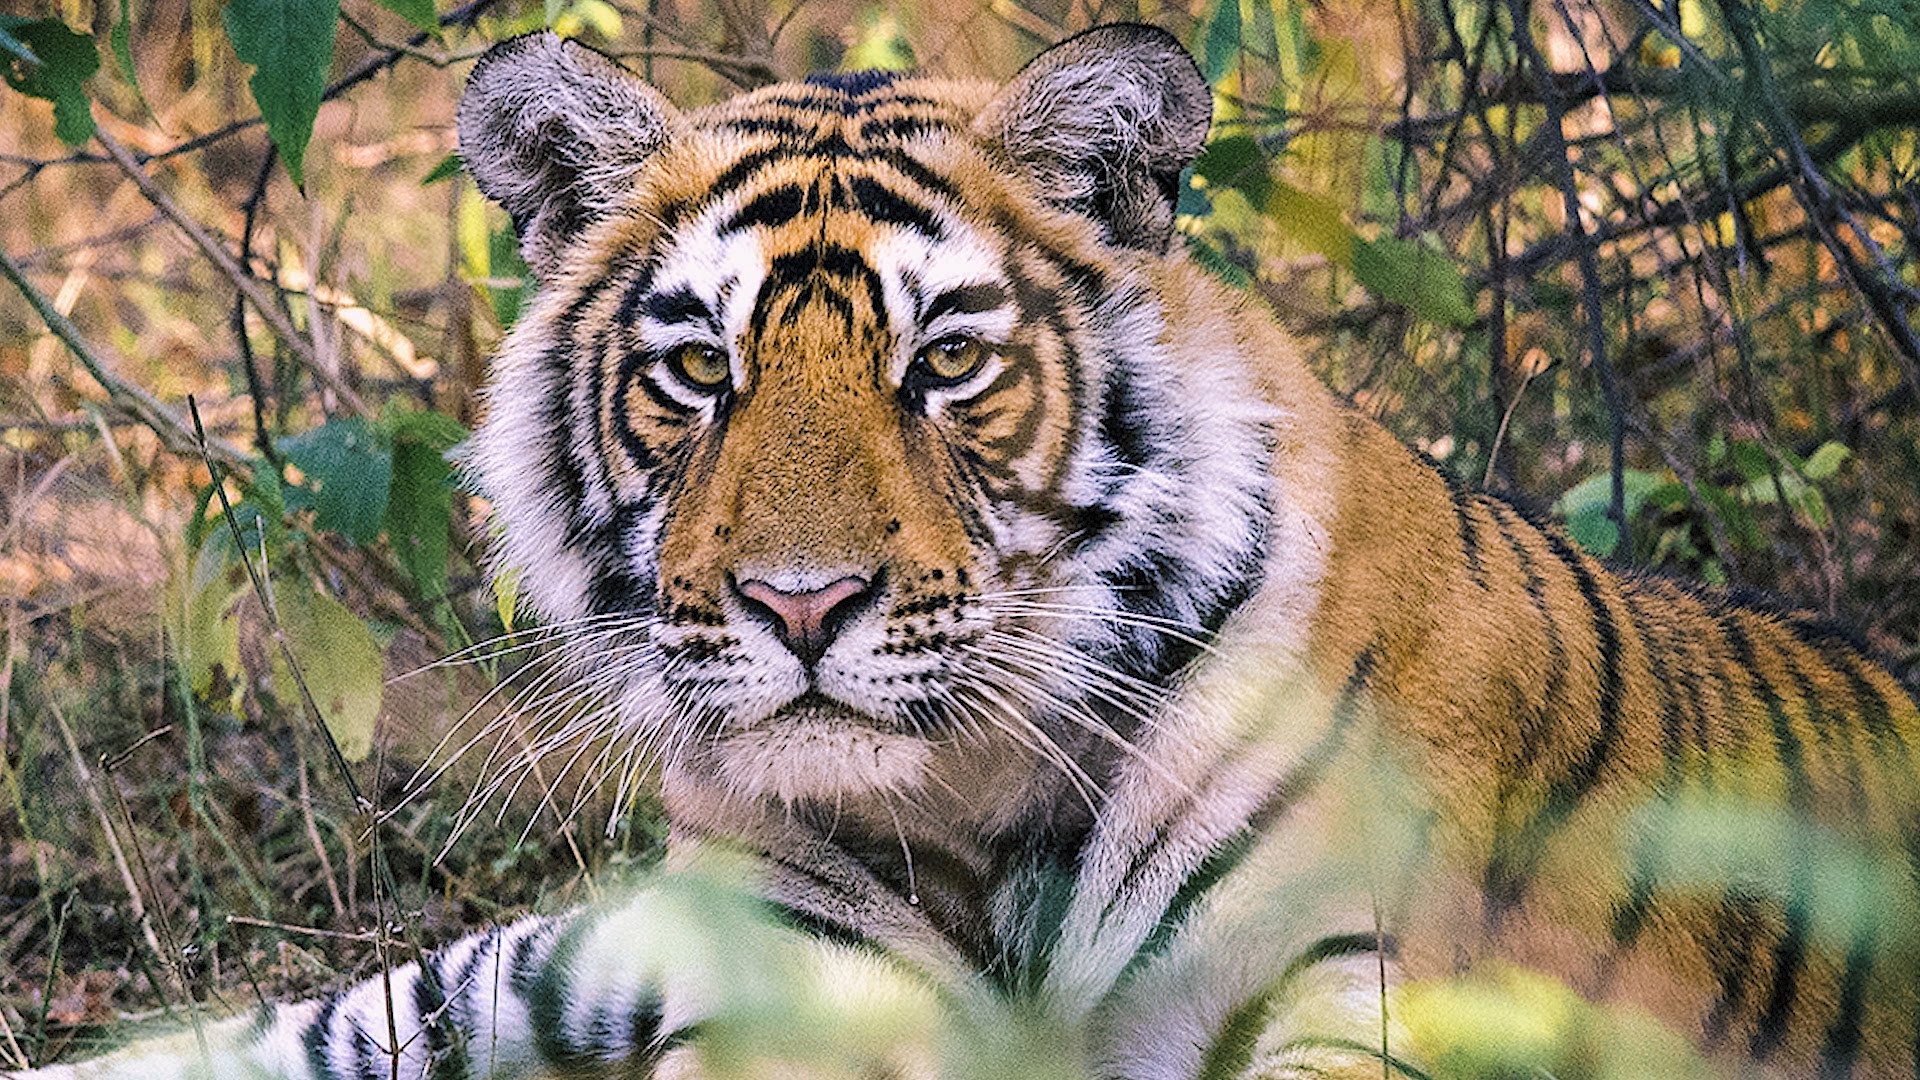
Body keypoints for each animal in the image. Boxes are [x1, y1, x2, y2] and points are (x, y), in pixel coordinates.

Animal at [16, 21, 1920, 1080]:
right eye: (700, 369)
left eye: (943, 364)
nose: (799, 607)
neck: (982, 811)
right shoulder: (789, 991)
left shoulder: (1338, 985)